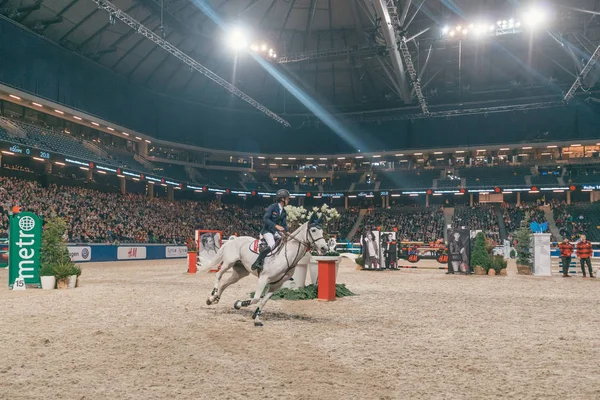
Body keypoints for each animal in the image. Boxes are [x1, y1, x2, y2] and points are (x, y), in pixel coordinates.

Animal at [198, 219, 328, 324]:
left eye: (322, 231)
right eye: (313, 230)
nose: (324, 248)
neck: (286, 256)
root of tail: (233, 240)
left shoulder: (277, 284)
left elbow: (263, 301)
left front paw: (256, 318)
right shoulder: (263, 278)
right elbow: (256, 298)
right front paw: (238, 304)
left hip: (240, 273)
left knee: (225, 284)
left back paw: (212, 300)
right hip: (228, 263)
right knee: (218, 274)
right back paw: (213, 293)